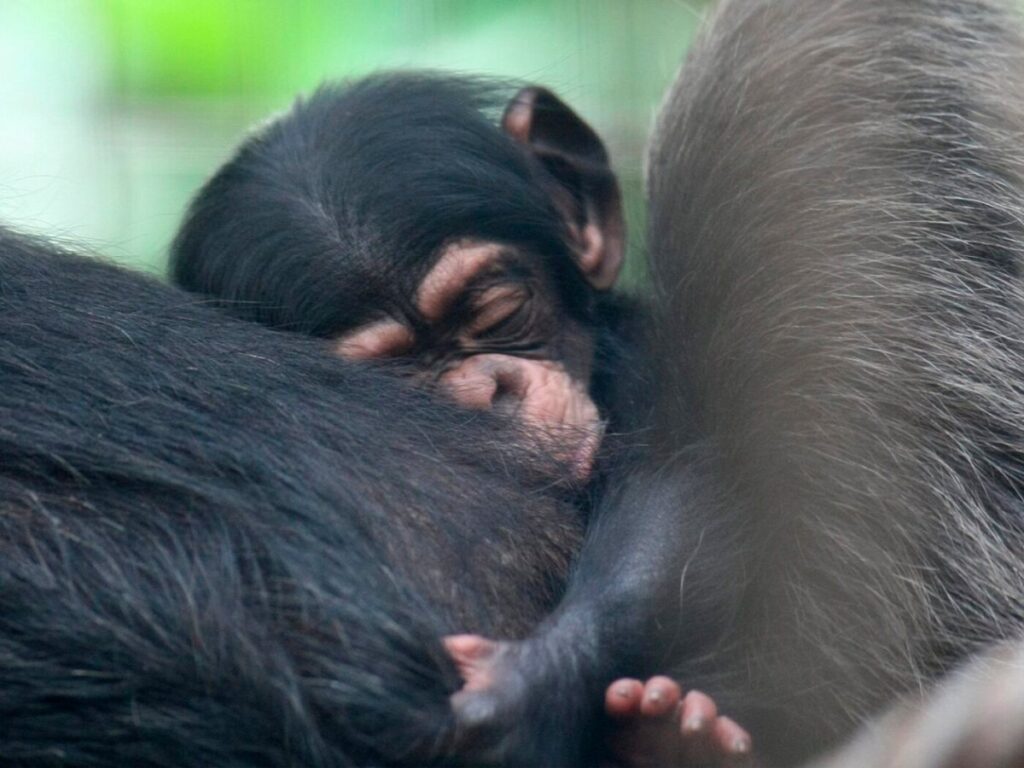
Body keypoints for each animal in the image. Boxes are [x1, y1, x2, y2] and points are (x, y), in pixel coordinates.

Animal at [166, 0, 1024, 765]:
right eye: (396, 371)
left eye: (497, 309)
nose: (485, 392)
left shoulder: (639, 359)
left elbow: (688, 483)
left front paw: (532, 678)